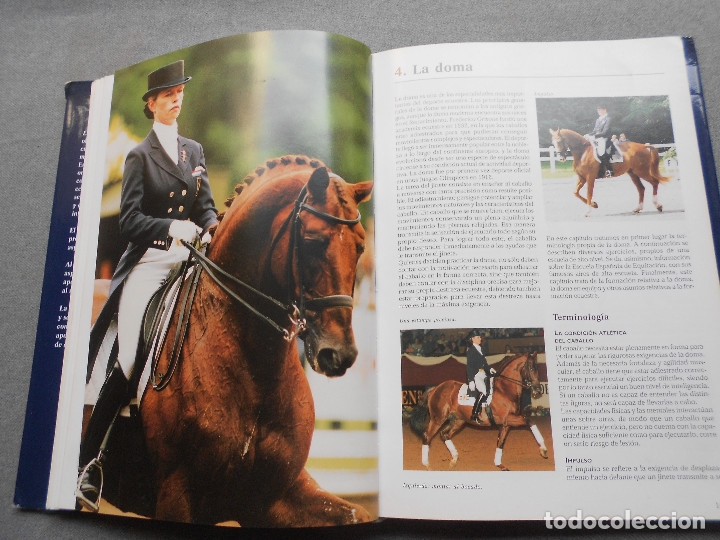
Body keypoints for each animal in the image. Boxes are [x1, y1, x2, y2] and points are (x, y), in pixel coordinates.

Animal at [99, 155, 374, 526]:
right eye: (313, 241)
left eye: (359, 246)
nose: (339, 354)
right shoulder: (176, 493)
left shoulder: (273, 498)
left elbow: (357, 513)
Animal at [409, 352, 547, 471]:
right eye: (531, 369)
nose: (538, 389)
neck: (505, 389)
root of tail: (436, 388)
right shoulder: (507, 418)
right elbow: (529, 420)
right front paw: (543, 449)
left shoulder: (506, 424)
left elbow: (500, 442)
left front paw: (499, 464)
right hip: (438, 419)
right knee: (427, 436)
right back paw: (427, 465)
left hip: (458, 420)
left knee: (444, 434)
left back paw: (454, 460)